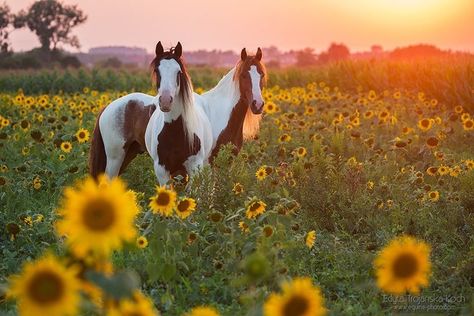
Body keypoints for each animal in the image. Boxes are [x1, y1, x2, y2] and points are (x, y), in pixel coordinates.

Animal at [90, 41, 211, 184]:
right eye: (156, 71)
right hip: (115, 159)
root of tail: (107, 107)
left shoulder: (194, 169)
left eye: (178, 72)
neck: (176, 129)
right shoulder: (162, 170)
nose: (165, 101)